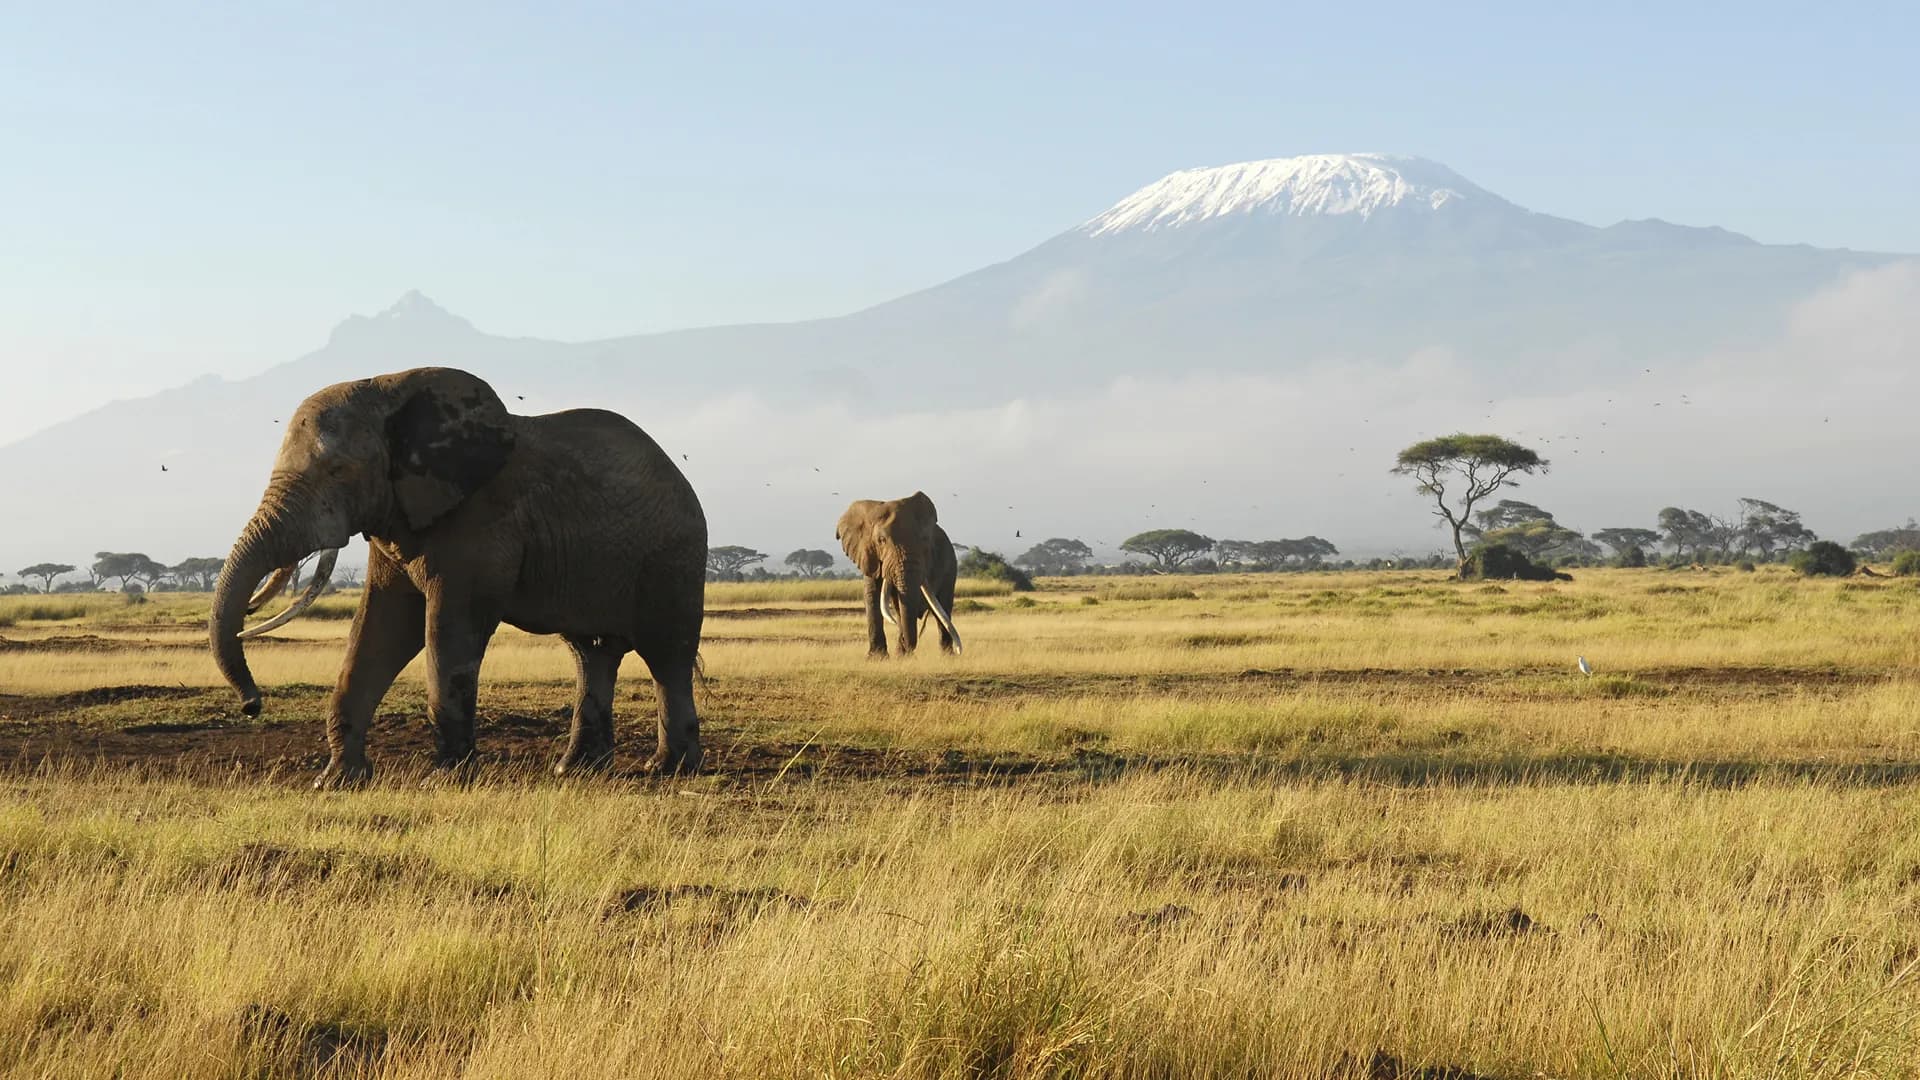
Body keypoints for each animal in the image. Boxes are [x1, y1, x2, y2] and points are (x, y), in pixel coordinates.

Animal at [208, 367, 708, 787]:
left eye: (338, 471)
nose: (252, 705)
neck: (389, 390)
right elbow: (381, 629)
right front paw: (337, 781)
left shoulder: (480, 521)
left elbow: (448, 628)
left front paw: (447, 778)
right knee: (592, 653)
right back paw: (575, 770)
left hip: (674, 558)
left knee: (667, 656)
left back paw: (669, 769)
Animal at [835, 492, 962, 657]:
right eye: (881, 540)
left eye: (925, 541)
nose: (908, 650)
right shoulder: (868, 555)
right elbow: (872, 595)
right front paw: (877, 658)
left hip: (950, 565)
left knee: (943, 607)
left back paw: (946, 656)